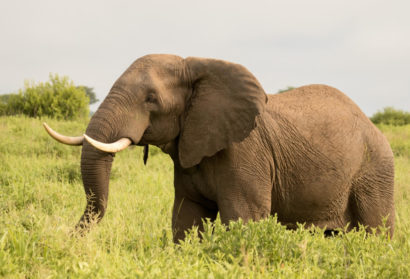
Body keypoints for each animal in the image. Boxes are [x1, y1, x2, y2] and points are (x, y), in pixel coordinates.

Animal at [43, 54, 396, 243]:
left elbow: (243, 217)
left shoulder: (245, 152)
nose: (67, 239)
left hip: (374, 171)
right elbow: (186, 218)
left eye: (151, 99)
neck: (196, 68)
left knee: (378, 230)